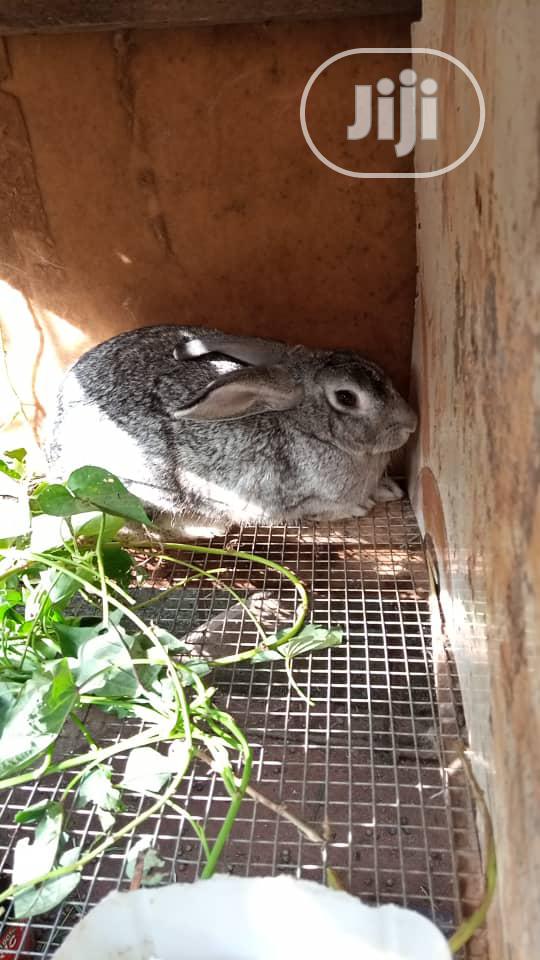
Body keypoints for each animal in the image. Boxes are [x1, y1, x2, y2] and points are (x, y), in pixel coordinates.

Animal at [45, 325, 417, 528]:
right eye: (346, 397)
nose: (411, 422)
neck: (307, 427)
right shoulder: (286, 500)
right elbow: (319, 509)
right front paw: (359, 506)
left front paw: (387, 490)